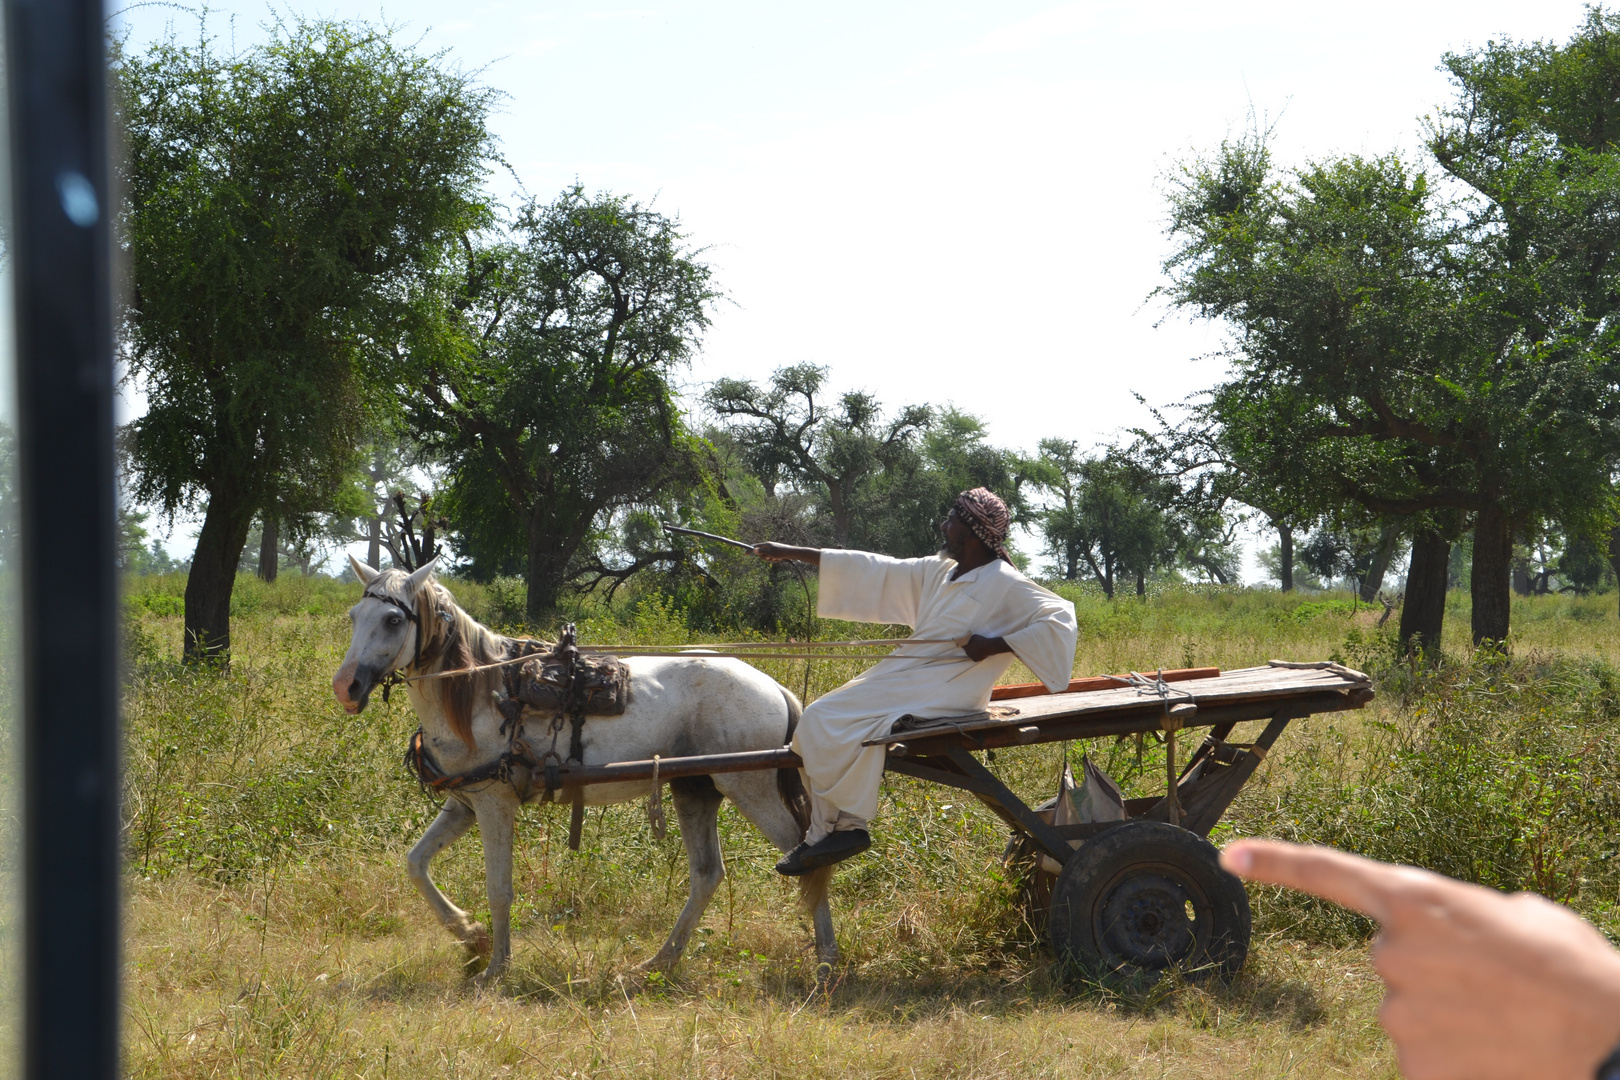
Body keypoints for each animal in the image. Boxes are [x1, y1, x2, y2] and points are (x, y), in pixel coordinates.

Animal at [328, 563, 835, 984]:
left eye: (394, 620)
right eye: (354, 615)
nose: (345, 687)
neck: (481, 693)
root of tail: (774, 687)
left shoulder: (494, 804)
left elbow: (499, 890)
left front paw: (495, 968)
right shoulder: (464, 803)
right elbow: (416, 863)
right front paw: (470, 936)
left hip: (751, 789)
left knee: (805, 856)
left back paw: (827, 960)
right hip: (695, 790)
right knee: (708, 874)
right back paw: (659, 963)